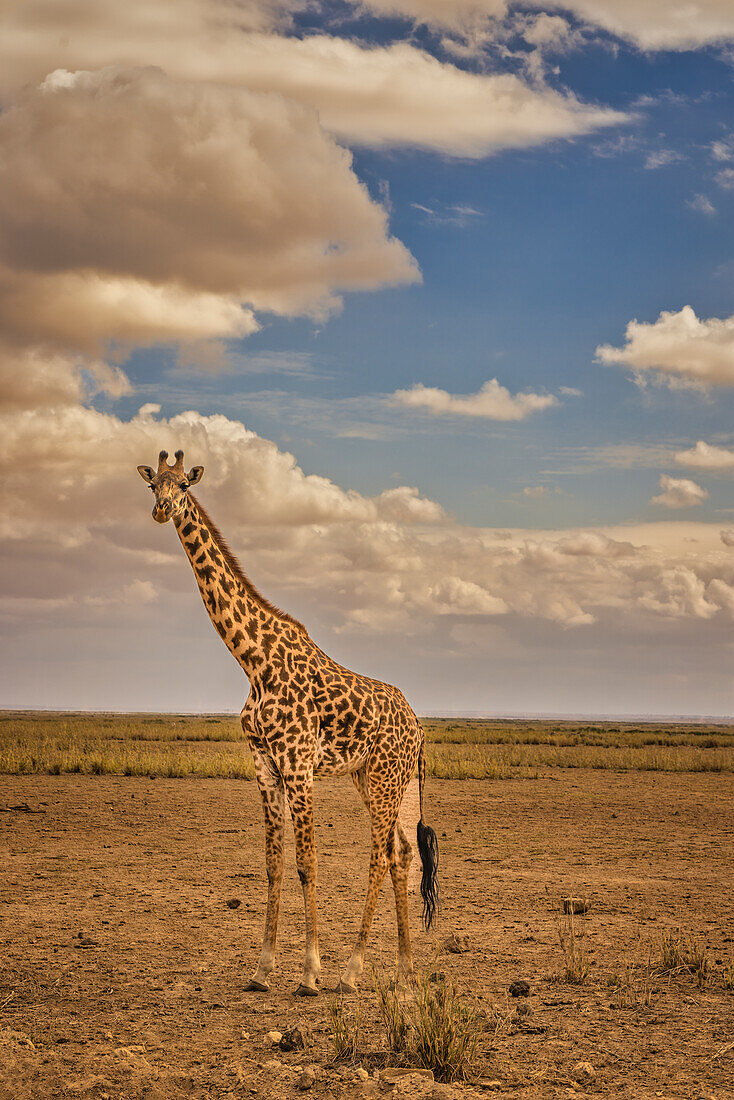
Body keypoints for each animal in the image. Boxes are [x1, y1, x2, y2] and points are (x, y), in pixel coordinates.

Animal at [137, 448, 440, 998]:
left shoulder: (299, 764)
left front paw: (309, 973)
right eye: (153, 485)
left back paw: (350, 972)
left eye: (184, 485)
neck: (252, 660)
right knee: (402, 852)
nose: (162, 510)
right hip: (375, 777)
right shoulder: (264, 764)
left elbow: (307, 864)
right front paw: (261, 970)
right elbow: (273, 865)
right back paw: (405, 970)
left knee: (379, 856)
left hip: (385, 779)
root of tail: (418, 727)